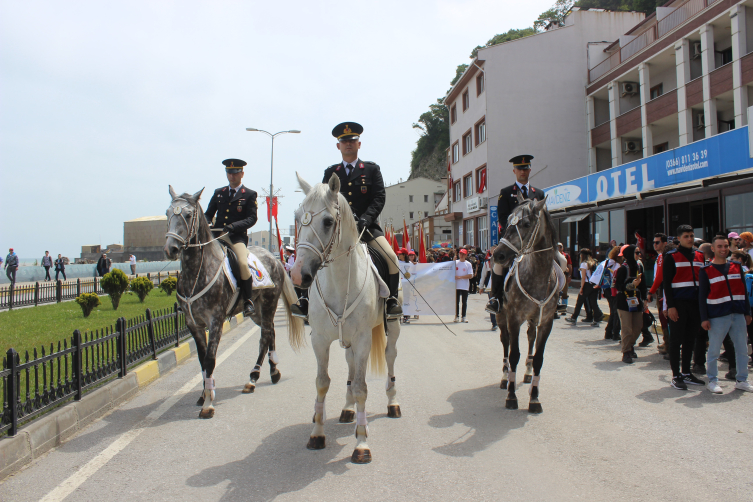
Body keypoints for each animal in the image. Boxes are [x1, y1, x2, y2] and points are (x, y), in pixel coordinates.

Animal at [165, 186, 306, 418]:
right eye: (168, 213)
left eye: (188, 215)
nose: (171, 249)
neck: (197, 272)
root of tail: (275, 259)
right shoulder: (193, 323)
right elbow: (201, 360)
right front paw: (204, 394)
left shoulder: (215, 320)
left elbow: (210, 359)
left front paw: (208, 403)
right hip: (257, 311)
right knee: (270, 332)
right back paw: (273, 371)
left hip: (269, 303)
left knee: (265, 336)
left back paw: (253, 378)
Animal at [290, 175, 402, 464]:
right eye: (297, 218)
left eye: (328, 221)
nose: (297, 275)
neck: (340, 281)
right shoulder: (320, 340)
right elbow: (322, 383)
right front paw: (317, 433)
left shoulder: (363, 339)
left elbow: (362, 387)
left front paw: (361, 443)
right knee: (350, 364)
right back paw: (348, 408)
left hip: (392, 326)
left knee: (390, 356)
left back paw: (392, 403)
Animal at [494, 192, 564, 412]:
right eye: (507, 220)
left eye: (526, 223)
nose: (498, 254)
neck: (538, 275)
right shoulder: (514, 318)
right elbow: (513, 354)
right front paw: (511, 396)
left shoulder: (546, 322)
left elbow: (539, 358)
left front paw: (534, 398)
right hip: (502, 317)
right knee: (505, 343)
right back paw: (505, 376)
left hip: (533, 319)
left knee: (530, 338)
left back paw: (526, 372)